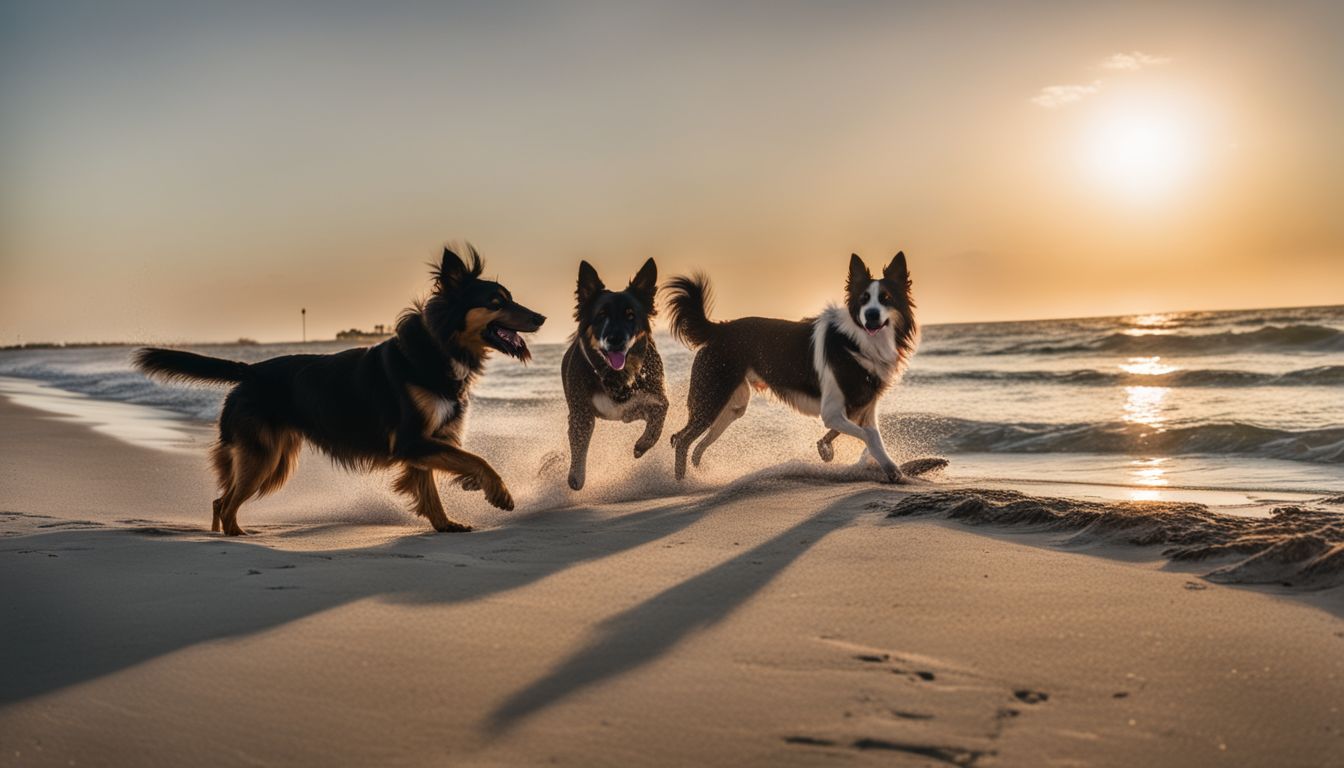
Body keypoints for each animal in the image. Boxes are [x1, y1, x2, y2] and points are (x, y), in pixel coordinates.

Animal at [129, 246, 540, 535]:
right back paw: (237, 536)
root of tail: (251, 371)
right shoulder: (412, 439)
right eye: (496, 302)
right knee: (227, 502)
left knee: (219, 500)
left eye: (510, 298)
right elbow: (476, 460)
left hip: (273, 457)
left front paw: (444, 524)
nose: (542, 317)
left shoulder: (426, 441)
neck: (440, 347)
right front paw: (498, 492)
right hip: (264, 457)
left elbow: (431, 485)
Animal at [556, 255, 666, 489]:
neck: (616, 375)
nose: (616, 340)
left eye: (630, 315)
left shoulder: (654, 399)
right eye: (601, 315)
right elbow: (579, 444)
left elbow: (657, 421)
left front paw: (641, 445)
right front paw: (576, 477)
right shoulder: (581, 413)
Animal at [666, 252, 919, 481]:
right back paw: (681, 482)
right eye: (864, 299)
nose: (871, 315)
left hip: (733, 406)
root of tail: (719, 328)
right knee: (681, 440)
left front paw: (890, 468)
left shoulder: (864, 408)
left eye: (886, 298)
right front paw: (829, 451)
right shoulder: (832, 412)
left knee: (698, 445)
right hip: (712, 398)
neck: (856, 341)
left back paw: (699, 475)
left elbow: (872, 437)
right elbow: (867, 435)